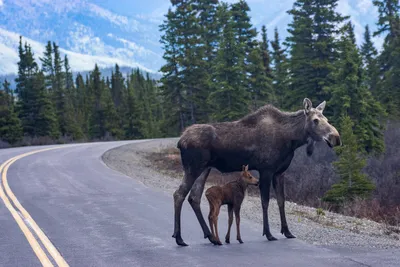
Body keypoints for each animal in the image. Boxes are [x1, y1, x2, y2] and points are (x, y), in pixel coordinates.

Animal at [172, 98, 340, 247]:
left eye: (326, 119)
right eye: (315, 120)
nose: (336, 137)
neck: (292, 139)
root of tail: (180, 142)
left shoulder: (279, 173)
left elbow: (281, 201)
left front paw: (287, 231)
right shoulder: (266, 170)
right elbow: (265, 202)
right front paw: (268, 233)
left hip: (204, 169)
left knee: (194, 197)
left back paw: (210, 237)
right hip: (193, 168)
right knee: (179, 194)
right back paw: (179, 238)